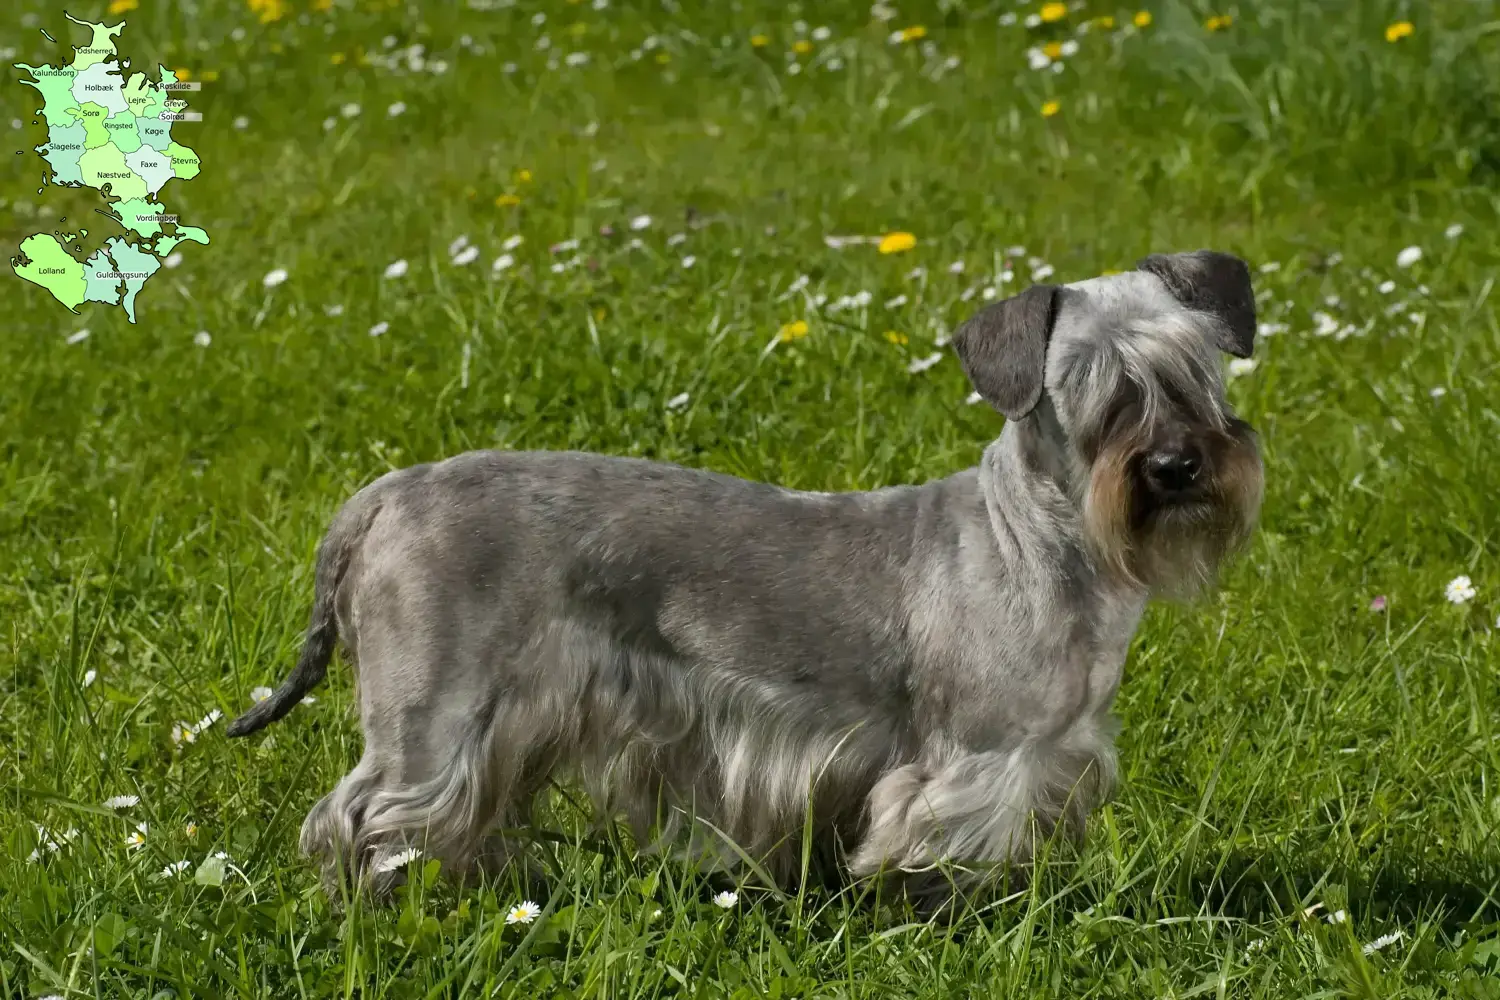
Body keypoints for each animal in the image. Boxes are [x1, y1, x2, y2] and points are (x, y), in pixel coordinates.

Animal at [228, 248, 1266, 905]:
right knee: (362, 814)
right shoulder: (973, 762)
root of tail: (382, 496)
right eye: (1089, 389)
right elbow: (942, 858)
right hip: (431, 718)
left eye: (1196, 369)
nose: (1177, 466)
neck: (1039, 542)